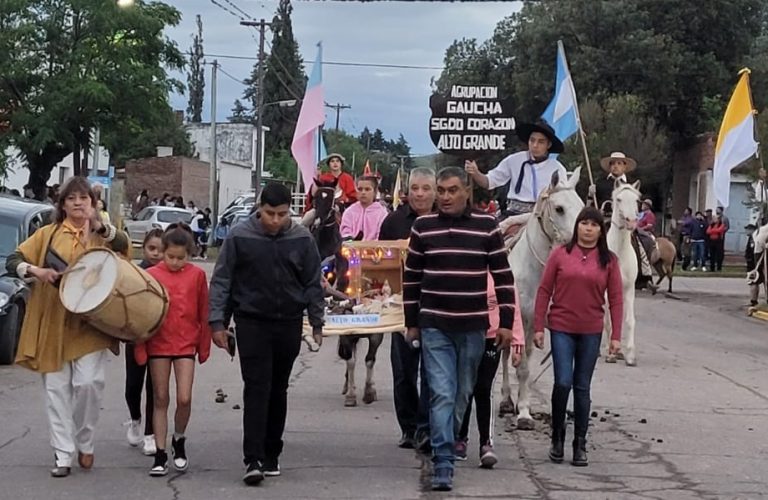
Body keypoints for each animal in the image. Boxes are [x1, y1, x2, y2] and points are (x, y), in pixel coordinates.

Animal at [302, 178, 382, 408]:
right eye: (316, 197)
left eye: (333, 199)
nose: (318, 221)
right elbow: (350, 359)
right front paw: (351, 394)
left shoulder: (377, 333)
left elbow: (369, 359)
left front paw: (369, 391)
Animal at [500, 166, 584, 428]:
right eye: (559, 208)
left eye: (581, 206)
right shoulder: (524, 322)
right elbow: (523, 368)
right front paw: (524, 414)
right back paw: (506, 400)